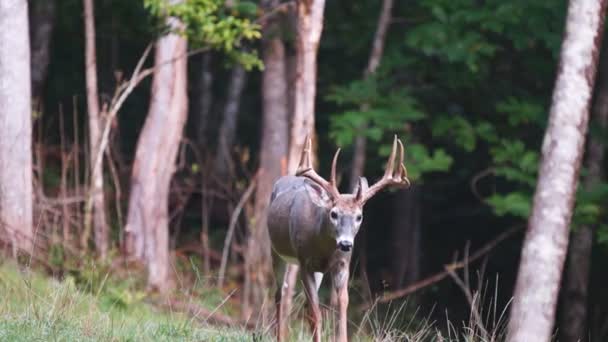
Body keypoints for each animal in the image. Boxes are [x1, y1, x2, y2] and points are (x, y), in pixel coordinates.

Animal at [266, 135, 408, 342]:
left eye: (359, 216)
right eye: (333, 213)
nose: (346, 244)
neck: (323, 249)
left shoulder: (342, 264)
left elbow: (341, 309)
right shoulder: (304, 261)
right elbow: (316, 314)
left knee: (300, 303)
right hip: (276, 251)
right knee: (281, 294)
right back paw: (280, 336)